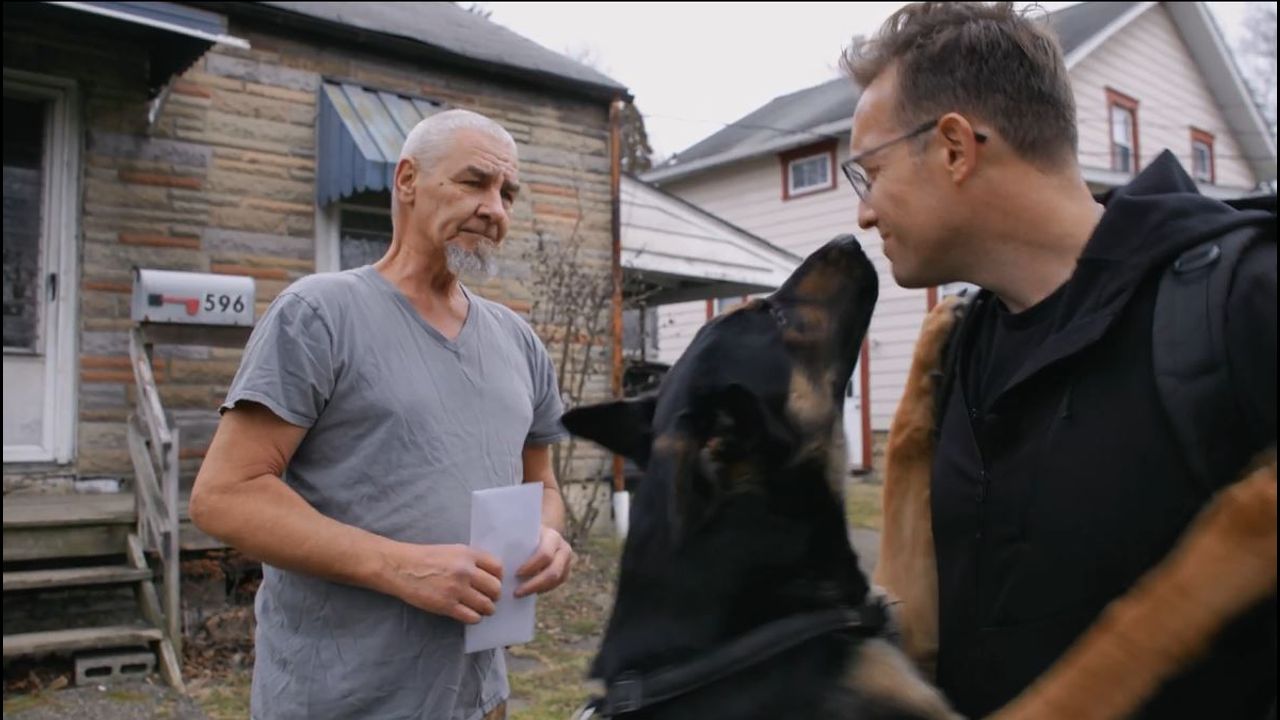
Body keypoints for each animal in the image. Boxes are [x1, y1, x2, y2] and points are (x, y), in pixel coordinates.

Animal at [563, 235, 1277, 719]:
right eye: (773, 316)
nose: (848, 238)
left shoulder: (907, 629)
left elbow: (905, 470)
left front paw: (935, 336)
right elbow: (1120, 637)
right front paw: (1249, 520)